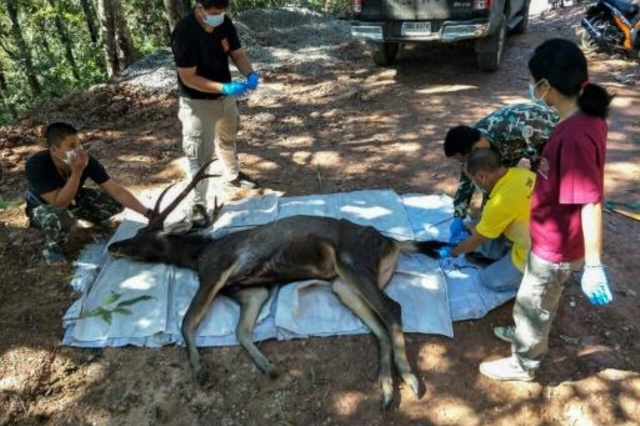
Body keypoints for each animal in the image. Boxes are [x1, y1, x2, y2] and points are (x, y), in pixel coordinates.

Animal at [107, 160, 450, 408]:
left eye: (142, 235)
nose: (114, 246)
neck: (198, 254)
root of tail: (393, 243)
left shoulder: (215, 272)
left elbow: (187, 321)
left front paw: (200, 371)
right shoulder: (252, 290)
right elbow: (240, 330)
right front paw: (269, 368)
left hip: (352, 262)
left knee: (393, 308)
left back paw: (411, 380)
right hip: (342, 284)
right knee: (378, 326)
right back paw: (387, 390)